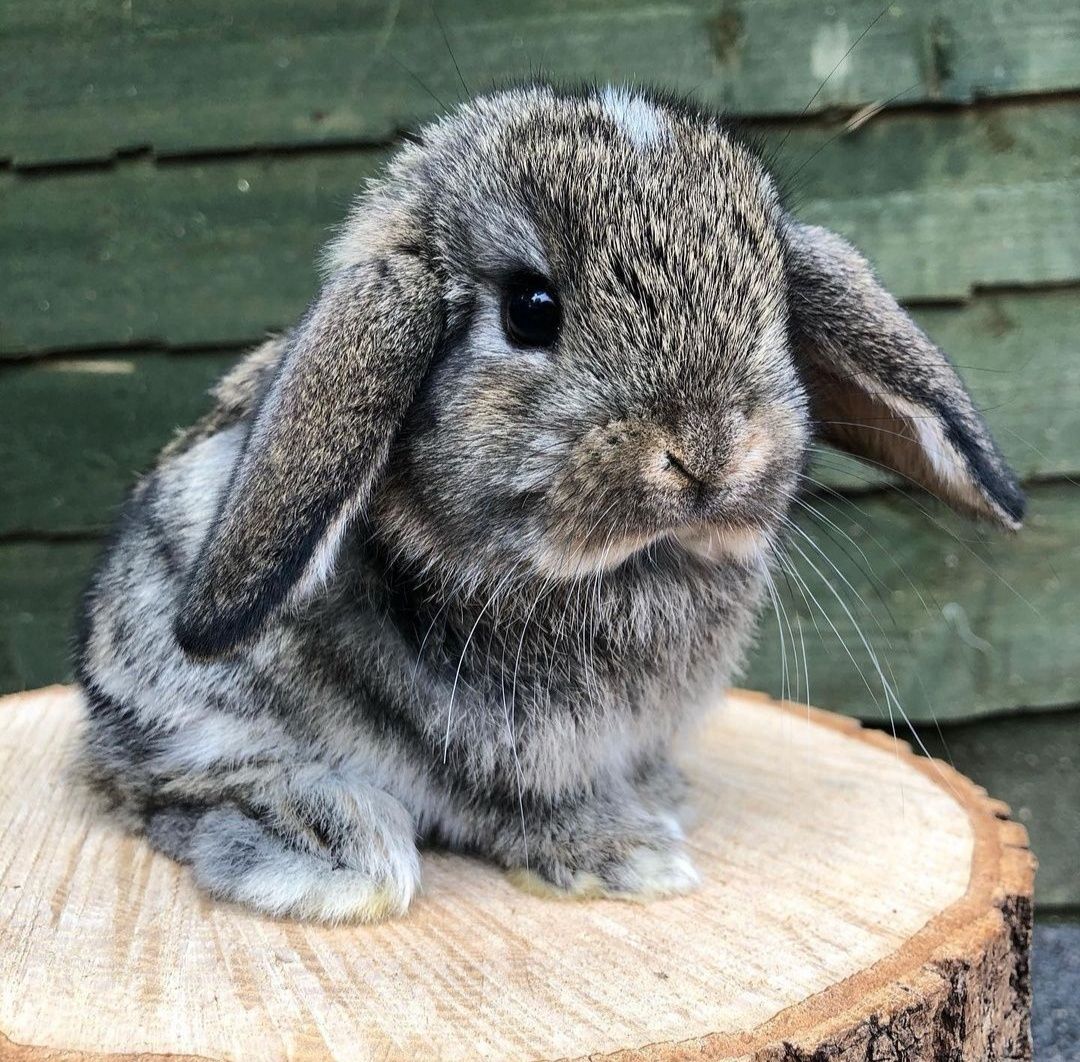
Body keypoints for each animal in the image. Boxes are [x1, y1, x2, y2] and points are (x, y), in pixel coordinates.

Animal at [73, 85, 1019, 920]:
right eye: (532, 308)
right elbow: (520, 807)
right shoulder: (493, 748)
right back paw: (338, 851)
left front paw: (660, 802)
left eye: (774, 302)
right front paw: (629, 858)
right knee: (169, 787)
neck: (624, 570)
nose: (708, 450)